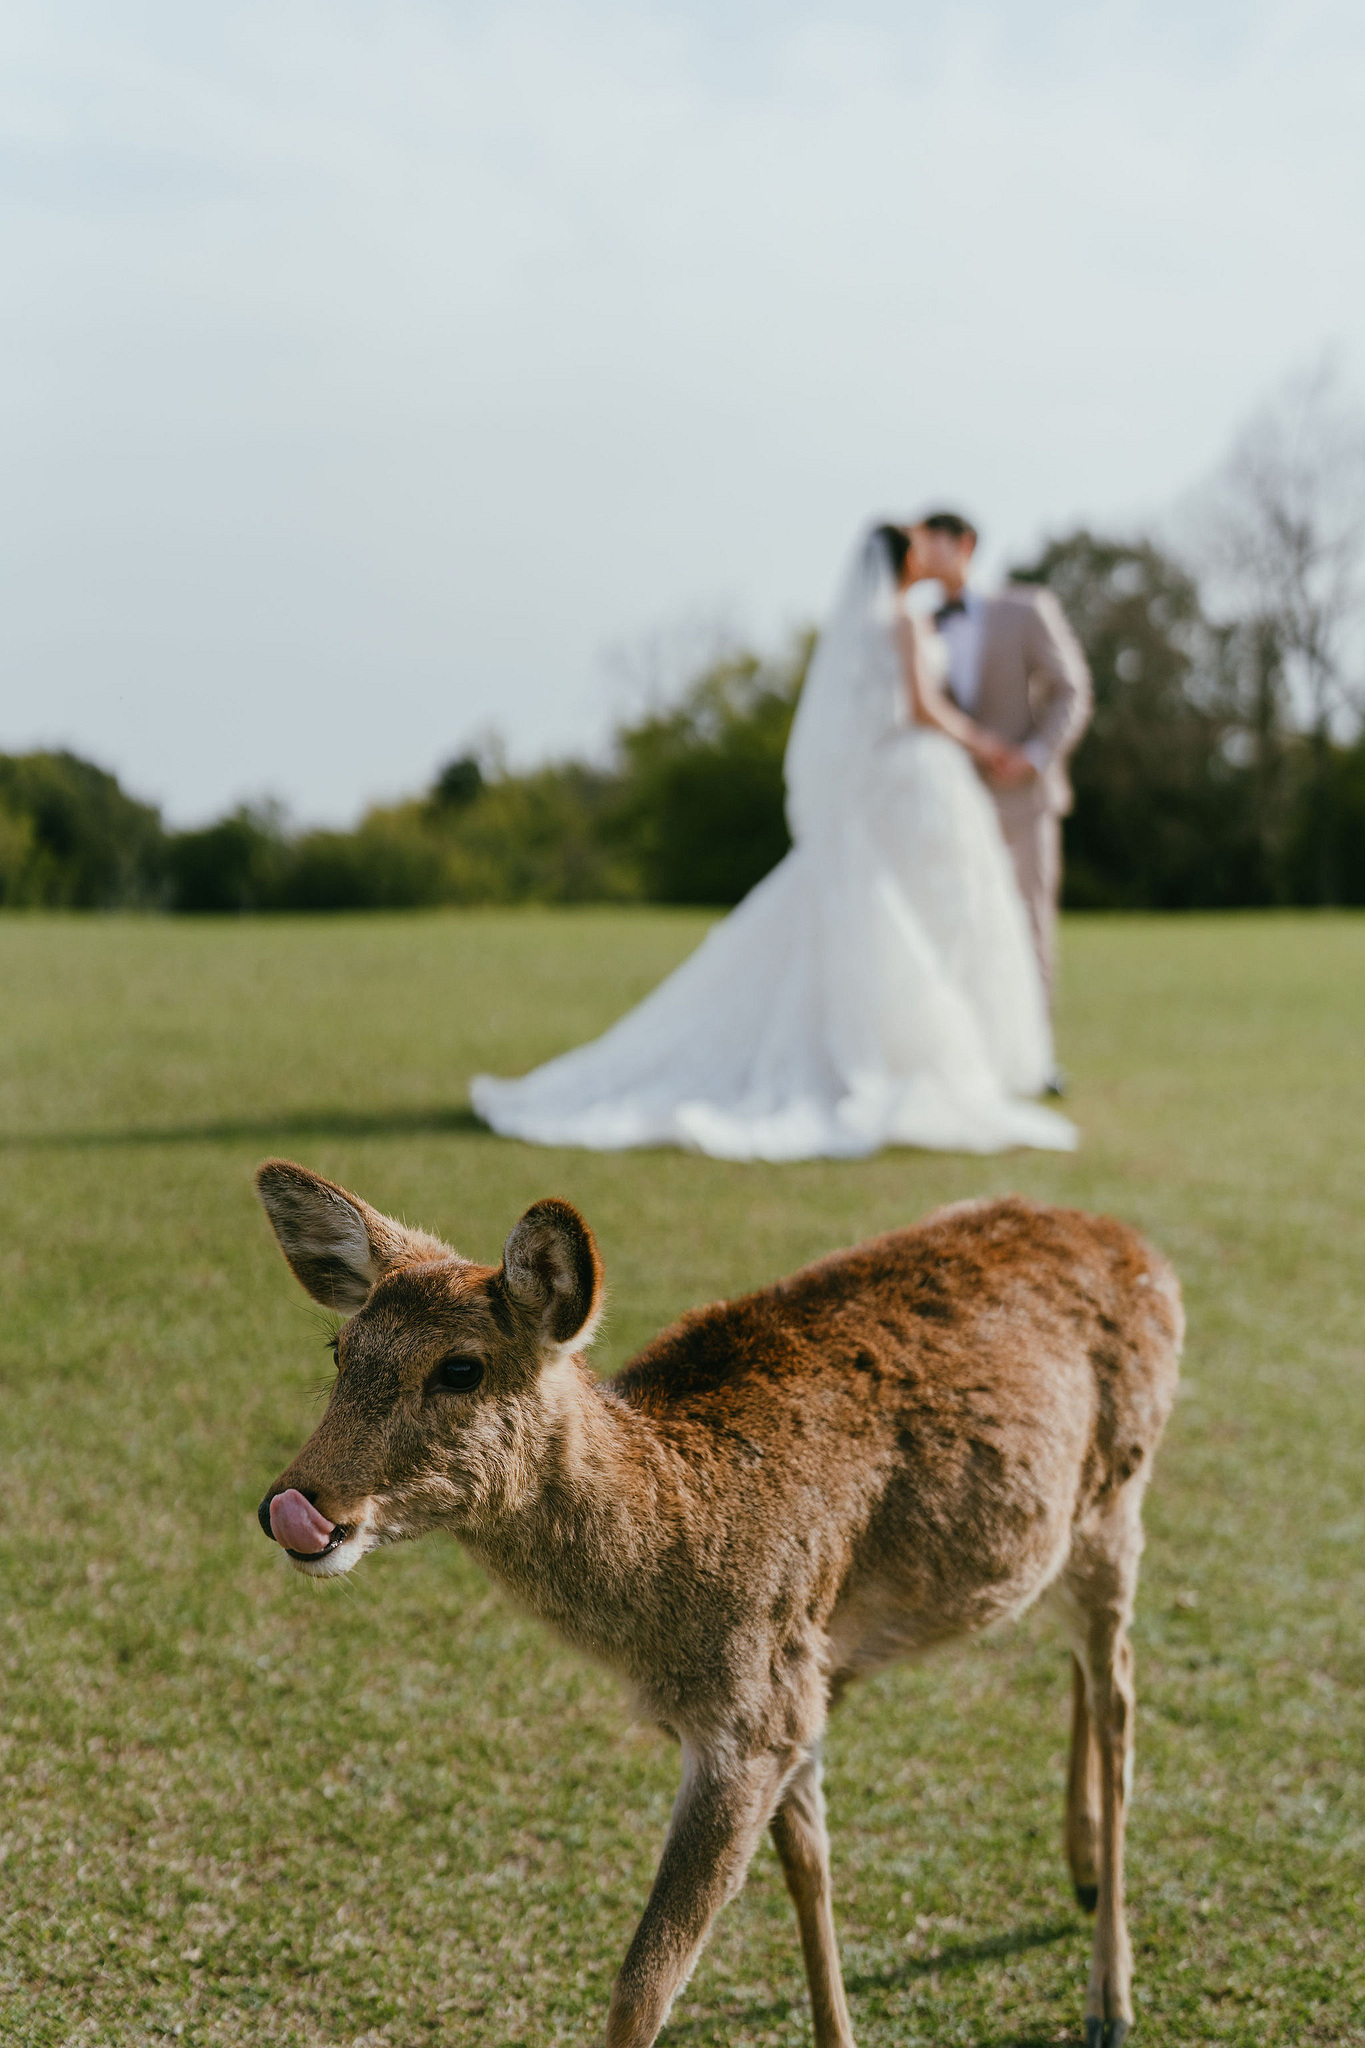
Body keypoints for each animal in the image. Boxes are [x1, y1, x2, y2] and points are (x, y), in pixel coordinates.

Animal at [254, 1160, 1182, 2048]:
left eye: (459, 1368)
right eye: (340, 1349)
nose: (292, 1506)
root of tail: (1141, 1250)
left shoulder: (753, 1710)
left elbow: (642, 1987)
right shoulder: (799, 1687)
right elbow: (807, 1863)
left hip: (1119, 1497)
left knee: (1121, 1697)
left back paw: (1109, 1998)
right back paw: (1080, 1871)